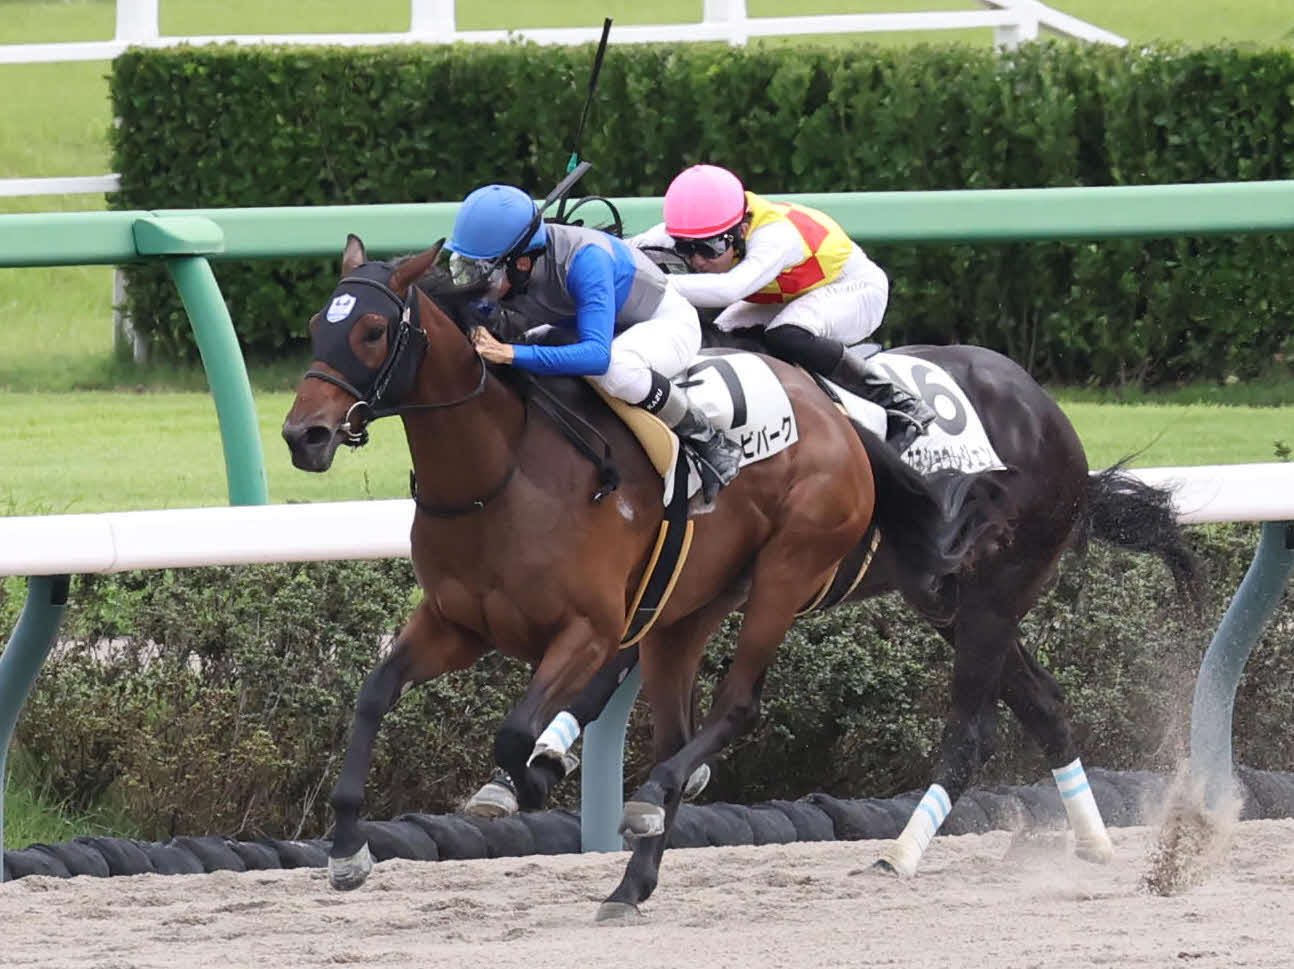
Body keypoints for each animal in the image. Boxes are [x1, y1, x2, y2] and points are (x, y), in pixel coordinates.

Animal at [280, 235, 995, 920]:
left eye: (373, 330)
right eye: (317, 324)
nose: (302, 435)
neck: (500, 476)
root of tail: (837, 417)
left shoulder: (589, 630)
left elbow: (515, 733)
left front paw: (534, 778)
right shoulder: (456, 623)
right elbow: (374, 693)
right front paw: (346, 851)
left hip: (788, 570)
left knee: (737, 705)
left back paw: (649, 799)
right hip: (686, 611)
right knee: (676, 731)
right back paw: (632, 882)